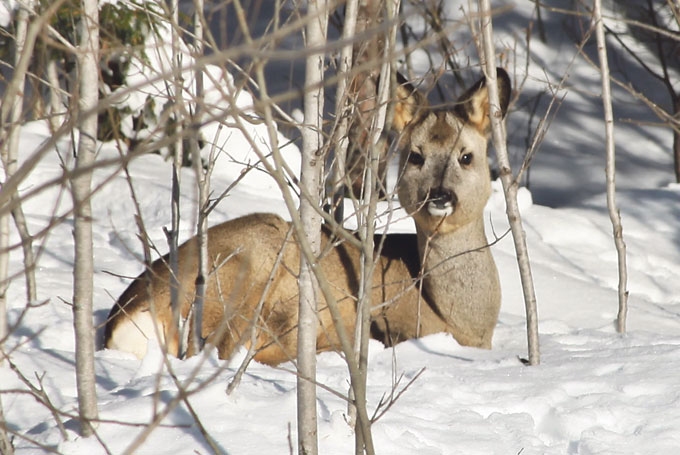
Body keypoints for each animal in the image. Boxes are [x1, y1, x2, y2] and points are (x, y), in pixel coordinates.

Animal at [105, 68, 510, 366]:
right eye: (416, 156)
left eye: (466, 156)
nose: (440, 196)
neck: (461, 321)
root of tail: (126, 319)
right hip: (247, 266)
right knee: (225, 350)